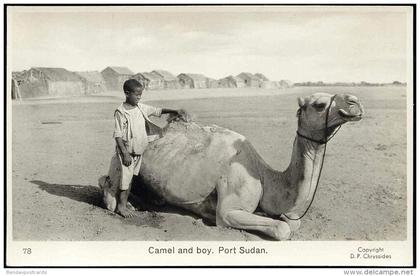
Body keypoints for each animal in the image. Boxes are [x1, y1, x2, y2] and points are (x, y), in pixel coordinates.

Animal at [99, 92, 364, 239]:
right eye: (319, 105)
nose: (355, 102)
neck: (266, 178)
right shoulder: (228, 210)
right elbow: (282, 228)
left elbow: (292, 222)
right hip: (119, 158)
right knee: (108, 182)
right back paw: (123, 205)